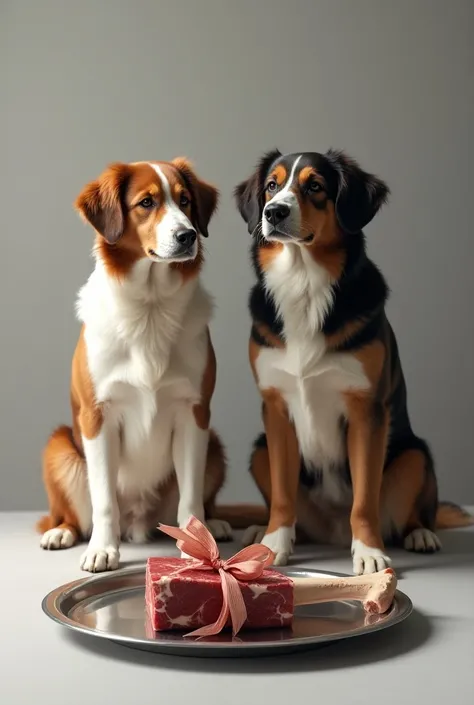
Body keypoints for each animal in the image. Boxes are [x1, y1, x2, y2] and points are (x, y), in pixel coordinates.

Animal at [37, 157, 231, 568]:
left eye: (185, 200)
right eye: (146, 202)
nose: (188, 235)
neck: (150, 308)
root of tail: (138, 522)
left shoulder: (194, 412)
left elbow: (191, 499)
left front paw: (196, 547)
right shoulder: (98, 415)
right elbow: (104, 500)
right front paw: (102, 549)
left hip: (215, 445)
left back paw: (216, 525)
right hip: (60, 447)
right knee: (74, 514)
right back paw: (61, 531)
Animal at [231, 148, 472, 572]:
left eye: (315, 186)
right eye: (271, 186)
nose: (273, 212)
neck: (304, 284)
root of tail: (332, 531)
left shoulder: (366, 411)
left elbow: (364, 498)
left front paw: (370, 552)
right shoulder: (275, 409)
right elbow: (282, 494)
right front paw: (275, 544)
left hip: (414, 454)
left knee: (415, 511)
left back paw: (420, 534)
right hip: (259, 448)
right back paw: (261, 531)